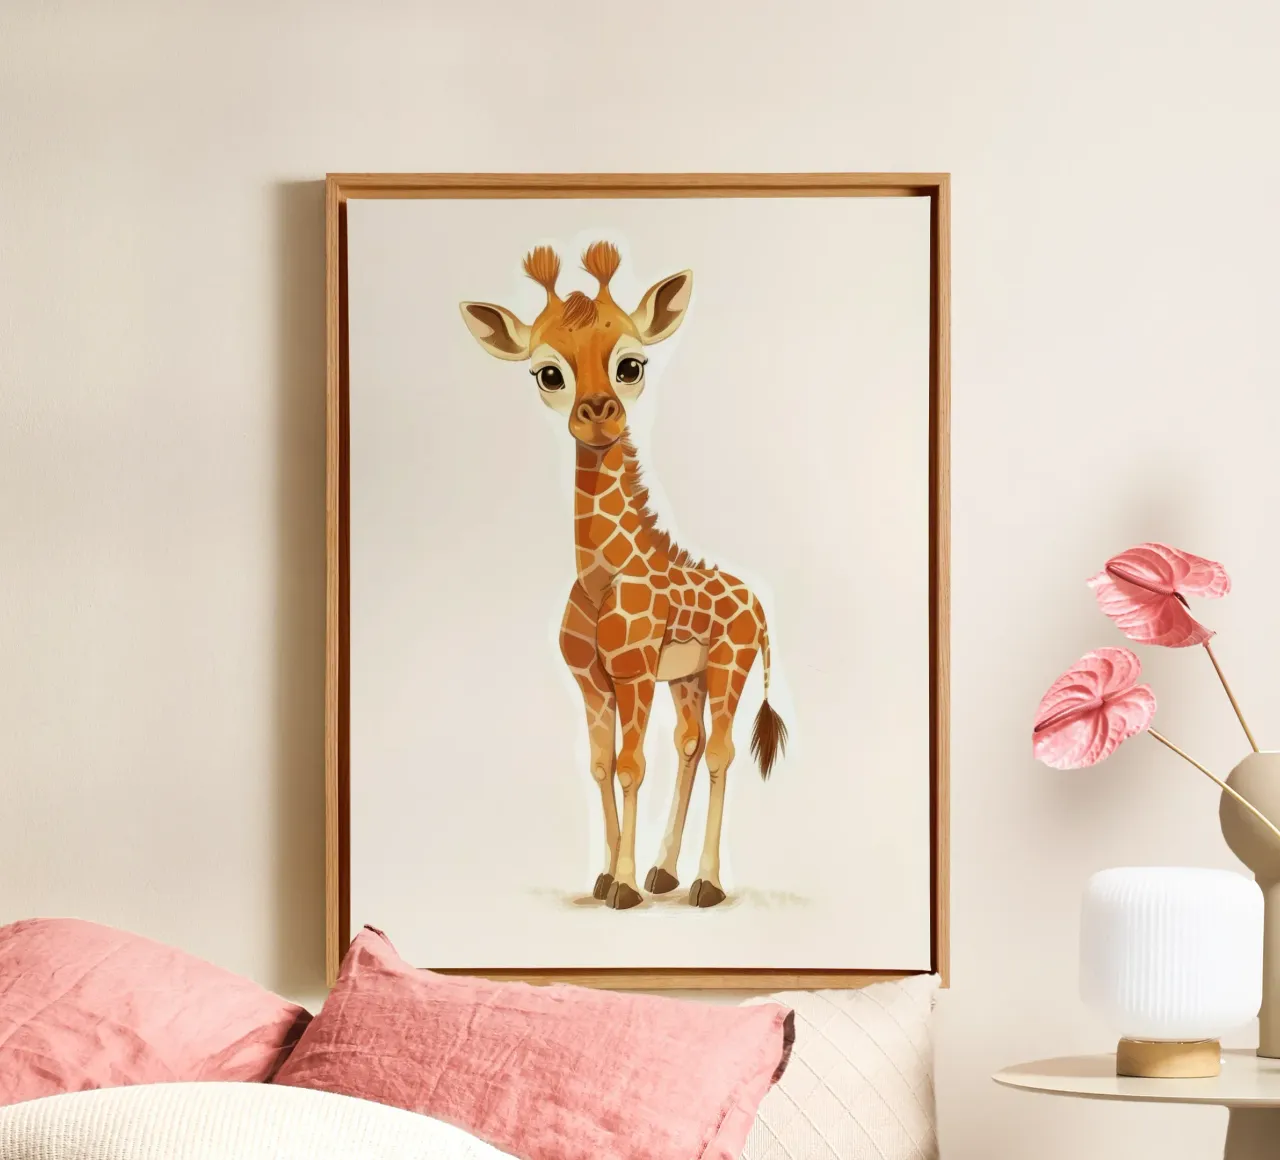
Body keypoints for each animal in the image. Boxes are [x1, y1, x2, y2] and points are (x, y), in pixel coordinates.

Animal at [459, 241, 787, 910]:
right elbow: (601, 765)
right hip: (687, 677)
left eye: (630, 365)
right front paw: (610, 875)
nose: (598, 413)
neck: (601, 572)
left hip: (730, 665)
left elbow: (632, 766)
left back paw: (706, 883)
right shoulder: (591, 680)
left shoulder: (633, 672)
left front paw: (626, 887)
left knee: (720, 751)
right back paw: (668, 871)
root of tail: (759, 605)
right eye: (548, 373)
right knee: (690, 744)